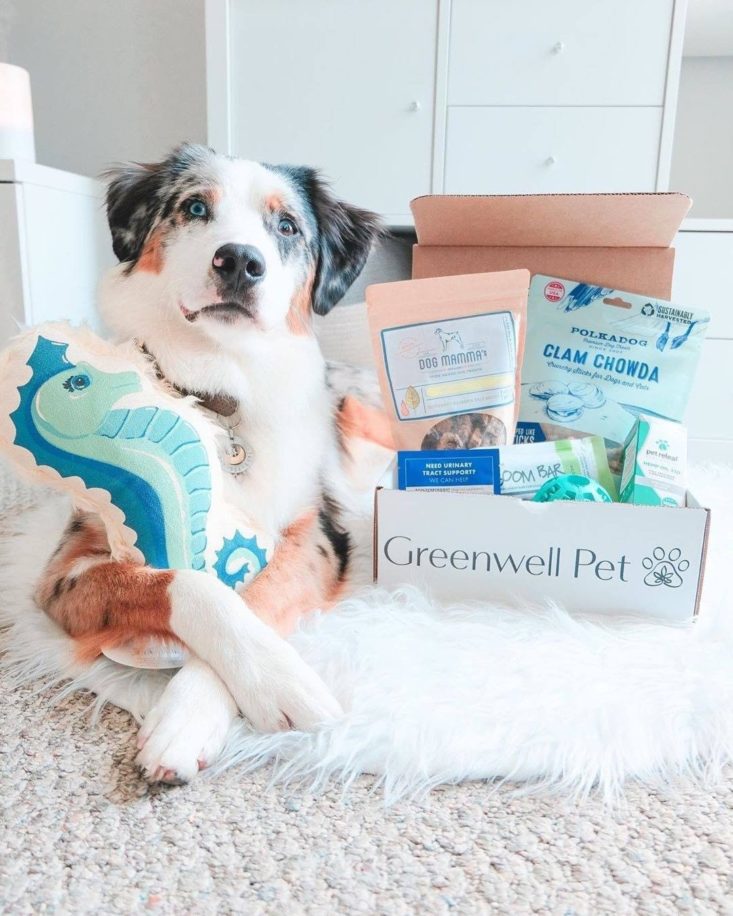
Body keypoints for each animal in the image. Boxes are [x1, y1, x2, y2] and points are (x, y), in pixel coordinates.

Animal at [20, 143, 392, 780]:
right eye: (196, 207)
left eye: (286, 226)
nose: (239, 260)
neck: (221, 386)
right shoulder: (62, 570)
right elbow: (188, 584)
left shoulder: (316, 534)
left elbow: (257, 596)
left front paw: (235, 697)